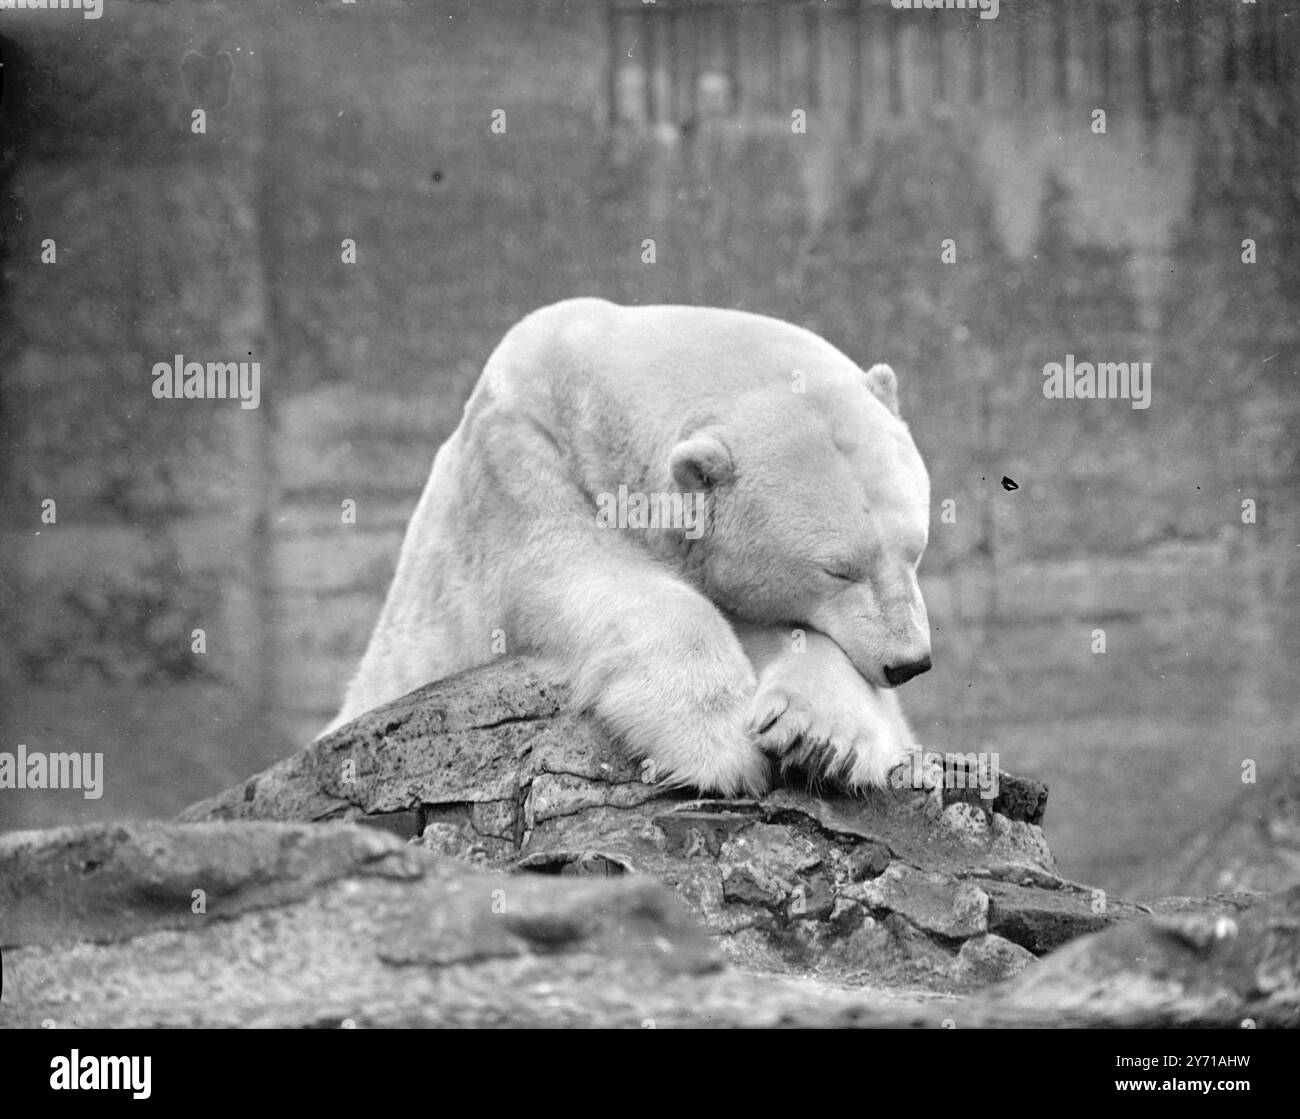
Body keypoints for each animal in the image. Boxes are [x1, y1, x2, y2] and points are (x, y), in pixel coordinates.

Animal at [327, 298, 935, 795]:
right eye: (838, 570)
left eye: (916, 549)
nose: (910, 663)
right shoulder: (516, 464)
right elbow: (580, 574)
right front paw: (722, 747)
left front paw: (820, 740)